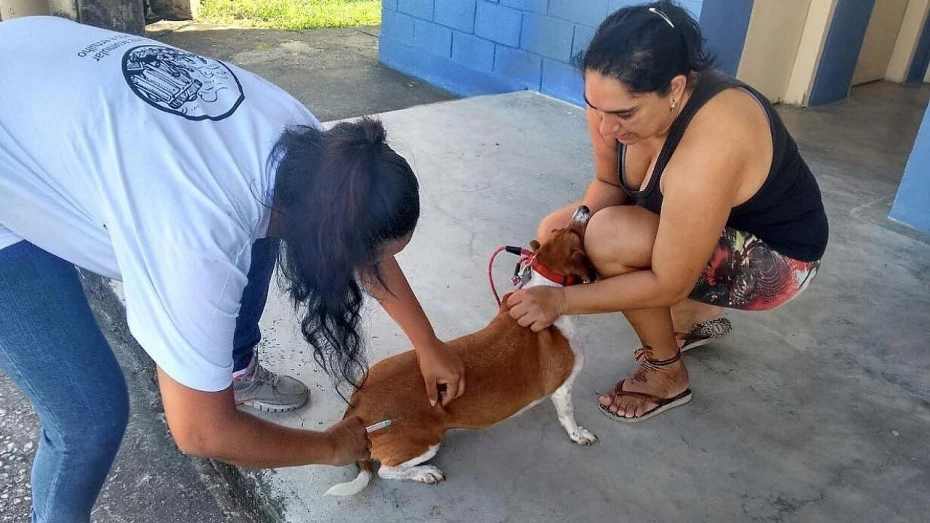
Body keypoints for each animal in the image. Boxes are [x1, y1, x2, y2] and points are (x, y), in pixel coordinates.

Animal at [326, 207, 600, 498]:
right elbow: (568, 415)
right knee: (387, 471)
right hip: (426, 442)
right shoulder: (564, 388)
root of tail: (357, 407)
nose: (583, 208)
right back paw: (424, 472)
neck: (546, 283)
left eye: (558, 231)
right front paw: (578, 433)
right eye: (576, 233)